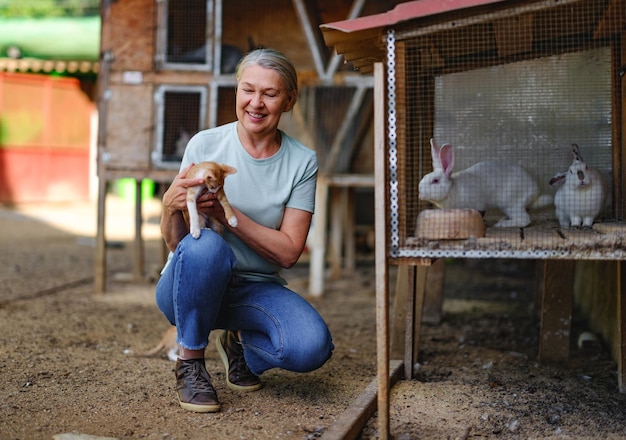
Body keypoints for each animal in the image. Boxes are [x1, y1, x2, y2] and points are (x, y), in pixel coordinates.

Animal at [416, 139, 548, 229]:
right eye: (424, 177)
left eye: (435, 181)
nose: (420, 192)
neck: (452, 189)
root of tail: (535, 193)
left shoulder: (478, 205)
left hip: (511, 204)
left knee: (524, 220)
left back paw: (501, 224)